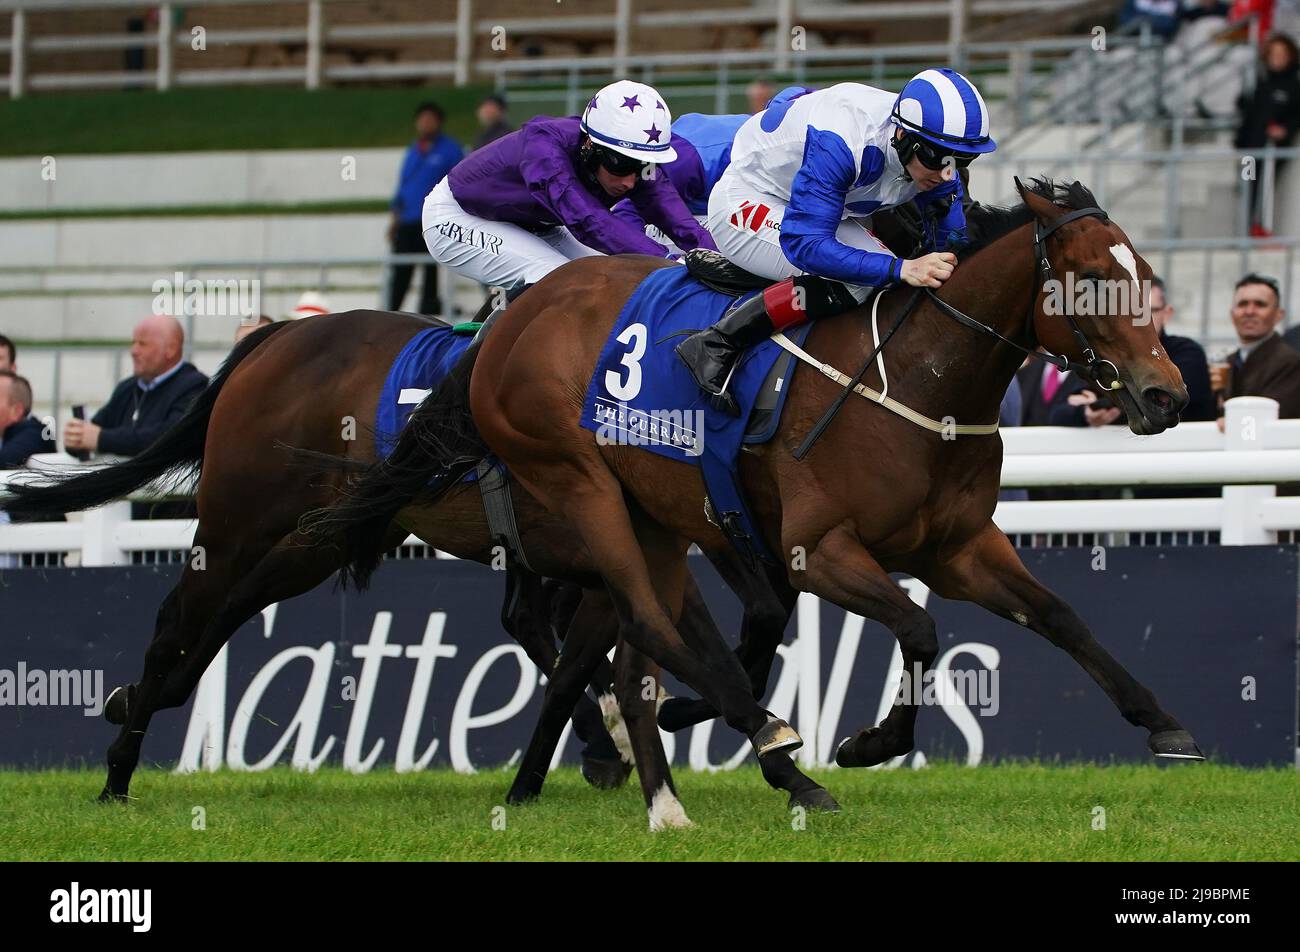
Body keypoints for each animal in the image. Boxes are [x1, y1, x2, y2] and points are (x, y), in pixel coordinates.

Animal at [306, 174, 1206, 816]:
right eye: (1092, 277)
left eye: (1146, 276)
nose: (1166, 395)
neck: (917, 378)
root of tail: (510, 323)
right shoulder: (818, 549)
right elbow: (917, 628)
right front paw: (867, 742)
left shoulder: (957, 546)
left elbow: (1057, 616)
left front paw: (1164, 722)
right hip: (579, 485)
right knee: (616, 624)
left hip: (645, 519)